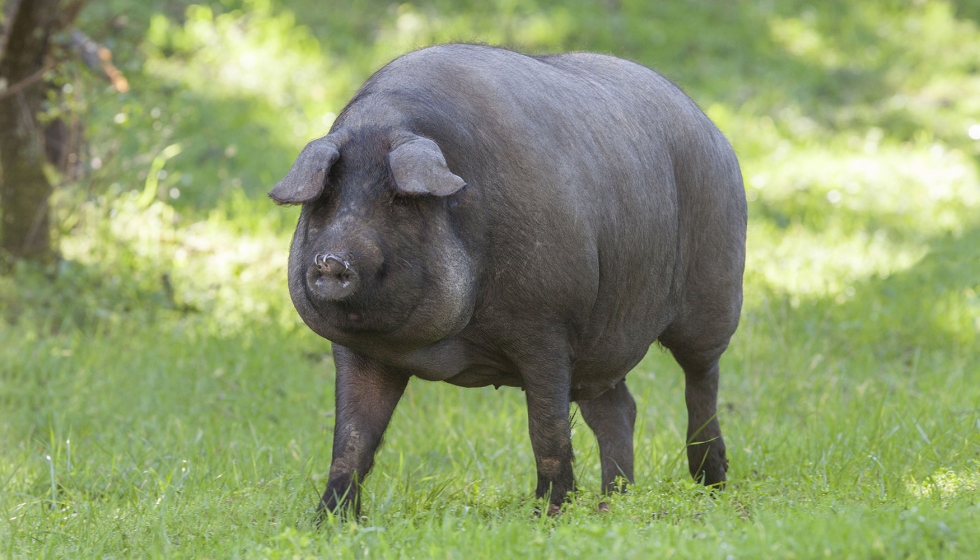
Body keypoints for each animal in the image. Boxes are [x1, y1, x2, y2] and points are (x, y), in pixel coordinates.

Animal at [271, 44, 746, 517]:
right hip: (600, 346)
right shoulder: (359, 351)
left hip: (714, 295)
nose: (331, 260)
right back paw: (612, 505)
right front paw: (328, 522)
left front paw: (547, 515)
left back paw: (712, 485)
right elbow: (352, 440)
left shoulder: (548, 328)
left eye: (400, 200)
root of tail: (712, 128)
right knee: (619, 409)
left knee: (701, 380)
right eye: (327, 197)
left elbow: (546, 430)